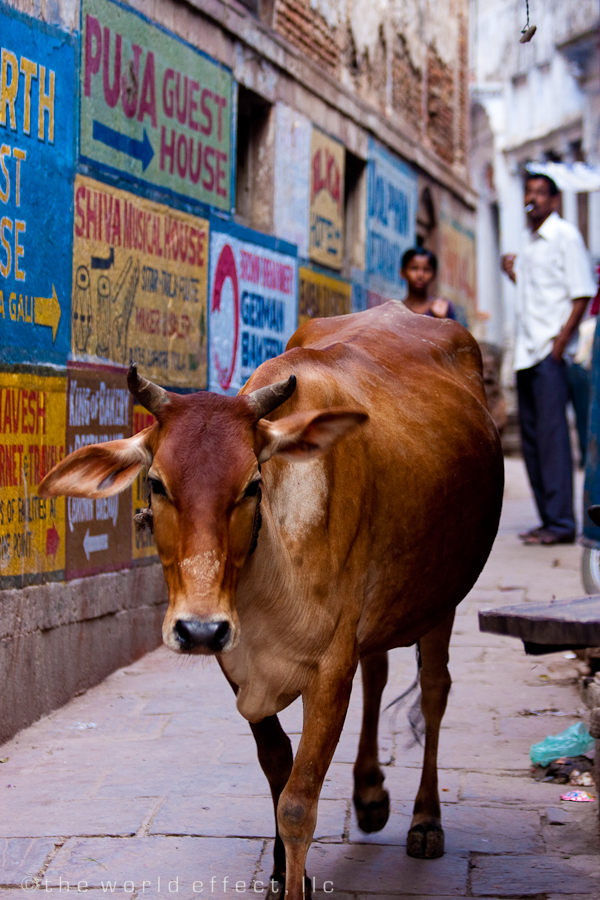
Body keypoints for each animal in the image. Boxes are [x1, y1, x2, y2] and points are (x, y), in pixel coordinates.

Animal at [39, 301, 503, 899]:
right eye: (157, 484)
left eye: (252, 485)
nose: (198, 630)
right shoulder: (237, 659)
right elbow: (277, 765)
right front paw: (283, 872)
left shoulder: (329, 670)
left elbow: (299, 804)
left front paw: (295, 878)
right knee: (378, 674)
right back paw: (369, 794)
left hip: (441, 598)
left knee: (433, 692)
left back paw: (426, 820)